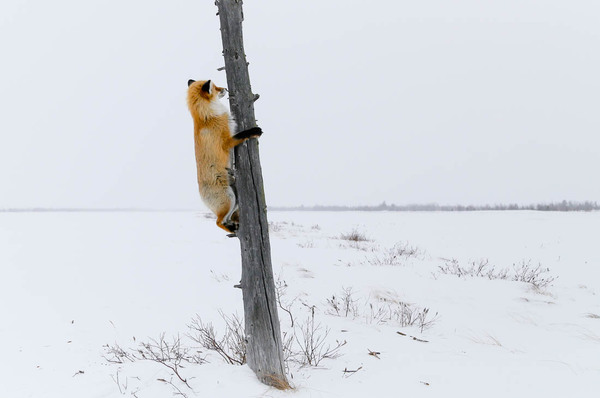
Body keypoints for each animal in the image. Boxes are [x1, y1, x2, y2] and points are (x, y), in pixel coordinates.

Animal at [188, 79, 262, 233]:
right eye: (216, 88)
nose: (226, 89)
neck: (206, 117)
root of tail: (201, 196)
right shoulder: (227, 141)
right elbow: (242, 134)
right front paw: (254, 131)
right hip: (229, 199)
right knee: (218, 222)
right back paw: (231, 229)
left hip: (235, 199)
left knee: (225, 219)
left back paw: (233, 227)